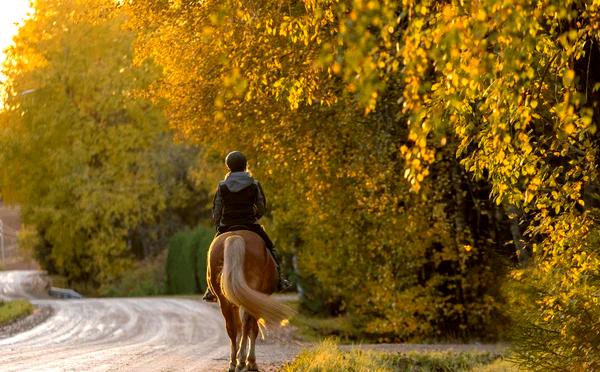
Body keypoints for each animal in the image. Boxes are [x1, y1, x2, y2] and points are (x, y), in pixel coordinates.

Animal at [206, 230, 296, 372]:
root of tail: (235, 237)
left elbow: (238, 327)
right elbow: (253, 329)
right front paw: (251, 362)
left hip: (224, 300)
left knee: (232, 327)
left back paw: (233, 362)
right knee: (246, 325)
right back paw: (242, 361)